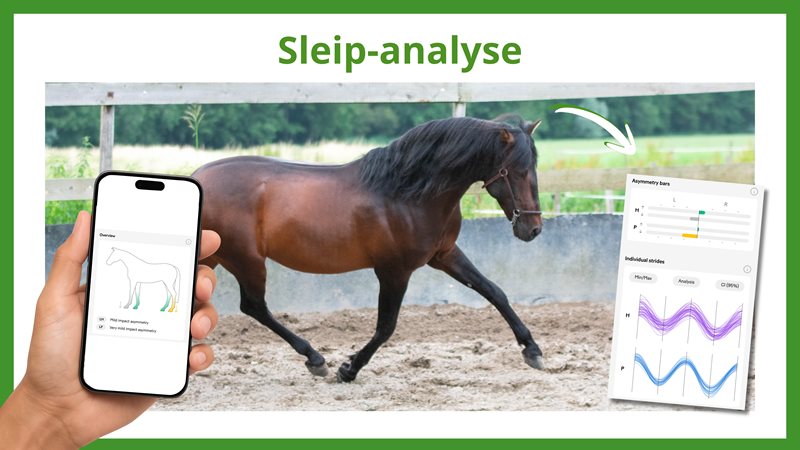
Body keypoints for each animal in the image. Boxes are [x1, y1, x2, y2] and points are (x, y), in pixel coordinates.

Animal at [193, 115, 545, 382]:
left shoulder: (444, 255)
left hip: (217, 258)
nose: (533, 229)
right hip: (246, 260)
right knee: (254, 306)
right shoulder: (394, 270)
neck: (407, 193)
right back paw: (315, 359)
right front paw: (348, 369)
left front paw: (533, 351)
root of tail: (197, 178)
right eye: (515, 171)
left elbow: (494, 291)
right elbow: (386, 326)